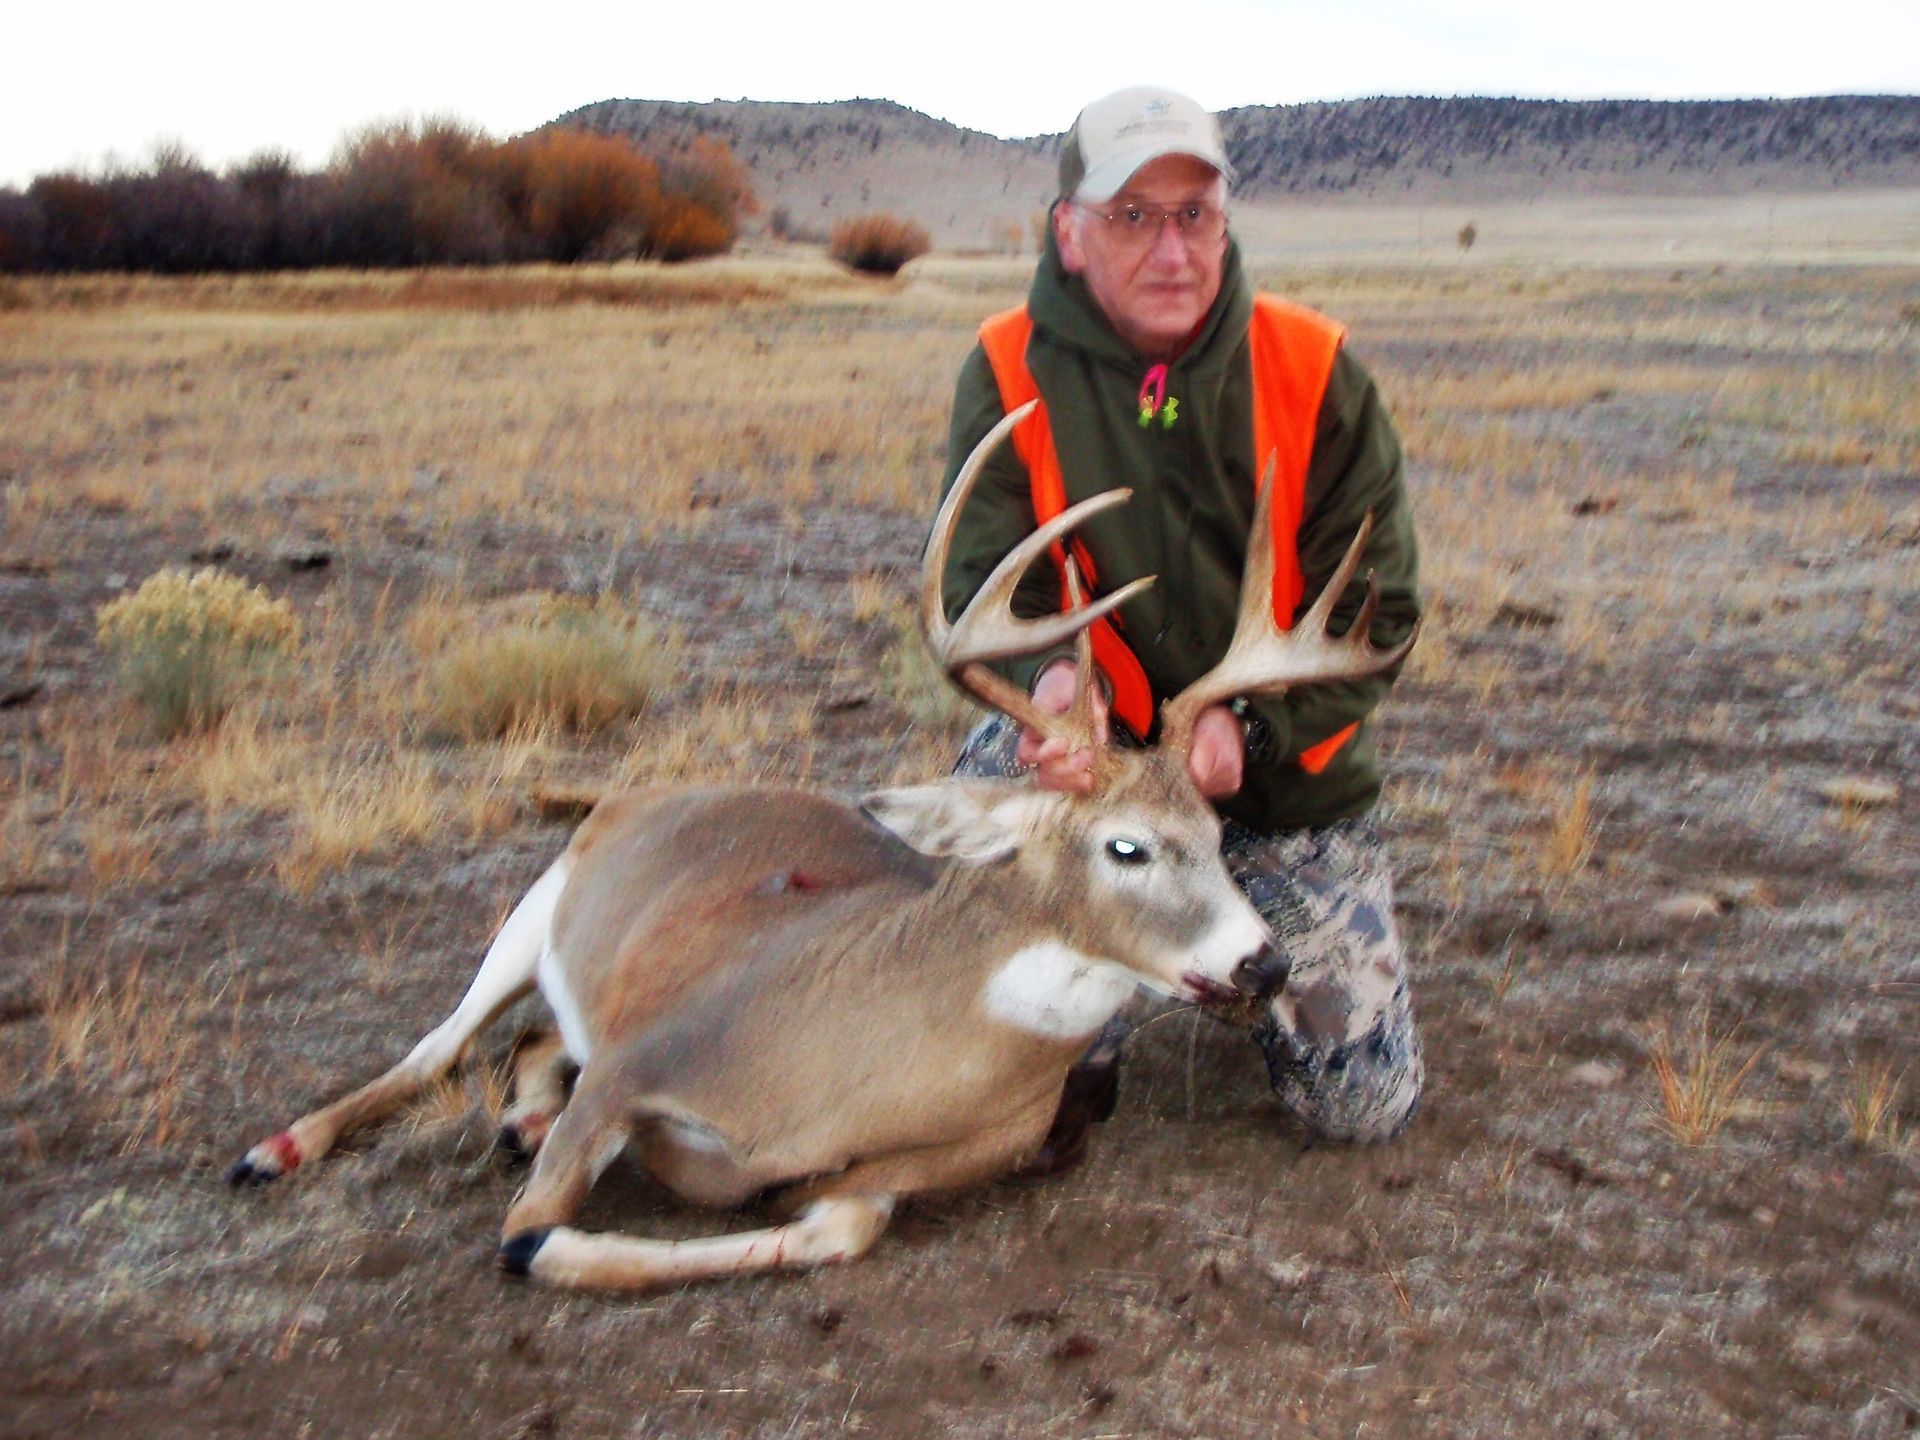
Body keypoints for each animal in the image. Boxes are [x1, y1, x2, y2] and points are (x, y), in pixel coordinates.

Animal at [227, 400, 1415, 1293]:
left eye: (1219, 834)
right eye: (1126, 847)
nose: (1266, 962)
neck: (866, 1054)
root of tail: (642, 797)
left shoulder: (887, 1171)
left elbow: (837, 1228)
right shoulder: (636, 1061)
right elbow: (532, 1238)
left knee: (527, 1043)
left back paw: (516, 1116)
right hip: (532, 911)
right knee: (440, 1046)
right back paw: (274, 1148)